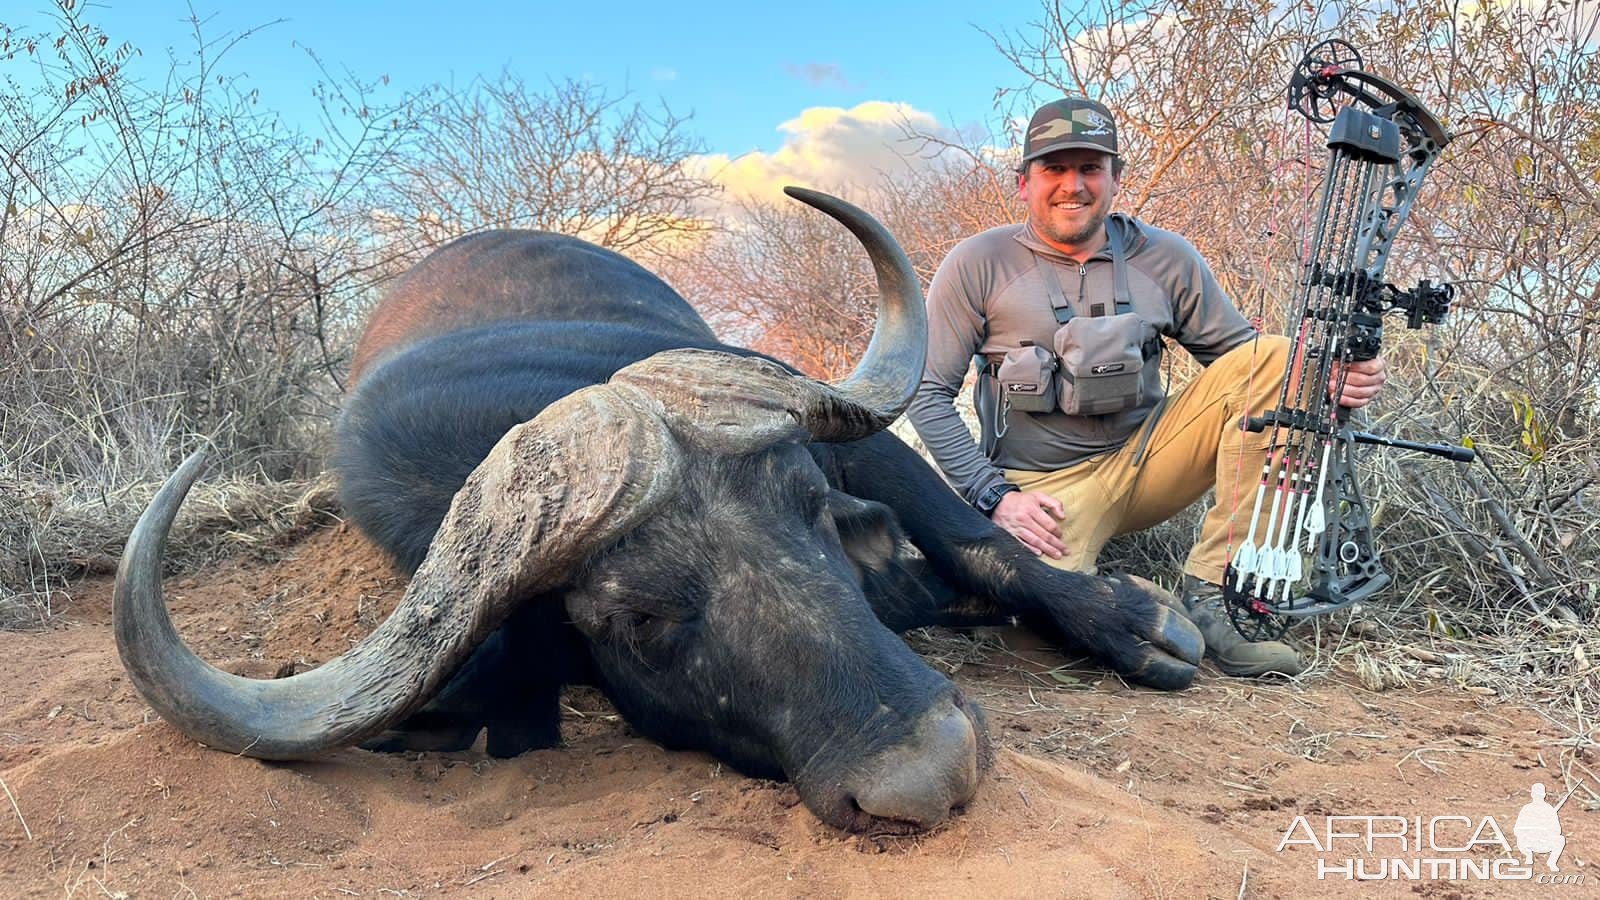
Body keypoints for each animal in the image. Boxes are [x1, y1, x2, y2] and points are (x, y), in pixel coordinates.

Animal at [116, 185, 1203, 832]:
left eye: (812, 513)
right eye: (635, 619)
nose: (933, 770)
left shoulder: (845, 432)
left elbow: (982, 543)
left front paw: (1133, 621)